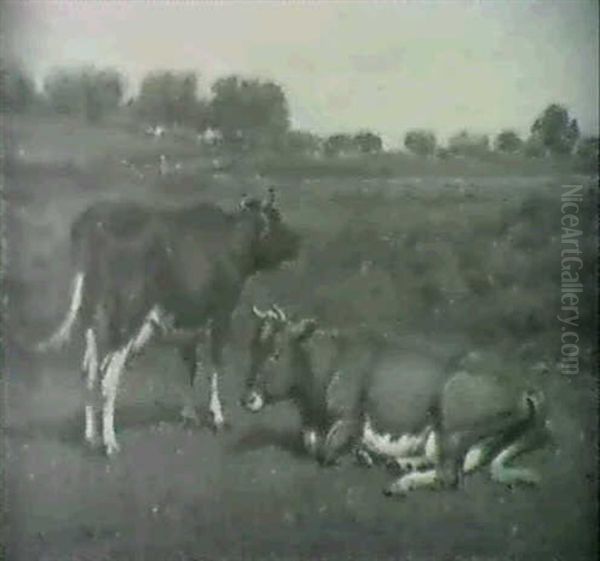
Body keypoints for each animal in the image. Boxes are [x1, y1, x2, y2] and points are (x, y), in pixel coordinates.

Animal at [36, 189, 298, 456]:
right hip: (126, 322)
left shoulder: (190, 322)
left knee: (88, 371)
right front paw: (217, 417)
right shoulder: (222, 315)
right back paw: (110, 443)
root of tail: (92, 223)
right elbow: (215, 366)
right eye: (276, 217)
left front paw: (189, 416)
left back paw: (91, 437)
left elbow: (190, 367)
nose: (297, 243)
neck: (232, 241)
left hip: (92, 322)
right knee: (107, 378)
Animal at [240, 308, 552, 496]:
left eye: (277, 353)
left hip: (451, 421)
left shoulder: (348, 419)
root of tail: (526, 385)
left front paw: (360, 456)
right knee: (467, 462)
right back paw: (401, 464)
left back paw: (400, 483)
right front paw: (364, 455)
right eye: (253, 348)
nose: (246, 399)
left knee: (449, 475)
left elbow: (326, 454)